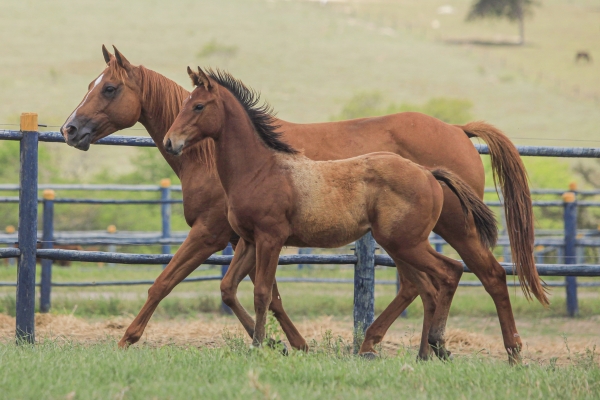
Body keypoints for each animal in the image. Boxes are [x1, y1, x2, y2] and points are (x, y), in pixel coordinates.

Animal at [59, 46, 544, 362]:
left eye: (109, 88)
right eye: (91, 84)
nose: (69, 130)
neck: (213, 157)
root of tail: (459, 130)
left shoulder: (214, 233)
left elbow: (168, 283)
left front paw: (129, 338)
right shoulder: (247, 237)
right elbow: (244, 290)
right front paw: (287, 343)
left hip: (447, 229)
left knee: (486, 274)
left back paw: (507, 350)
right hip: (408, 237)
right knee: (427, 283)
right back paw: (411, 348)